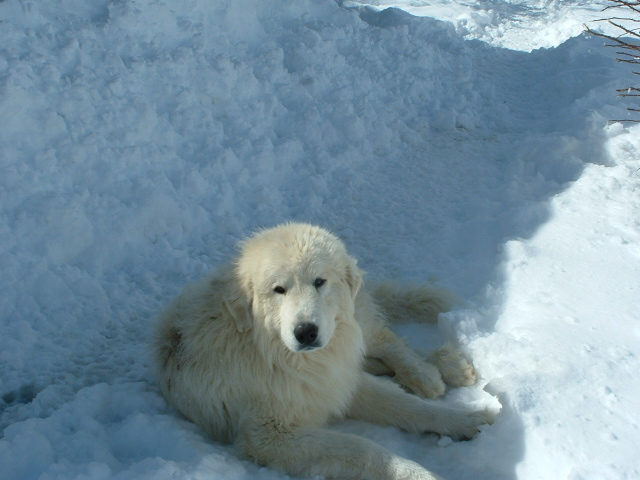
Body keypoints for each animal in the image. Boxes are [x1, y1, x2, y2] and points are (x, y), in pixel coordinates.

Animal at [155, 223, 496, 478]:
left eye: (319, 281)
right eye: (279, 290)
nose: (306, 332)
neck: (281, 358)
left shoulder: (339, 381)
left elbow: (412, 408)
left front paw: (467, 421)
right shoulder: (271, 434)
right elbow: (364, 449)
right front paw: (417, 473)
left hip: (355, 321)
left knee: (386, 339)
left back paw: (429, 372)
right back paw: (441, 366)